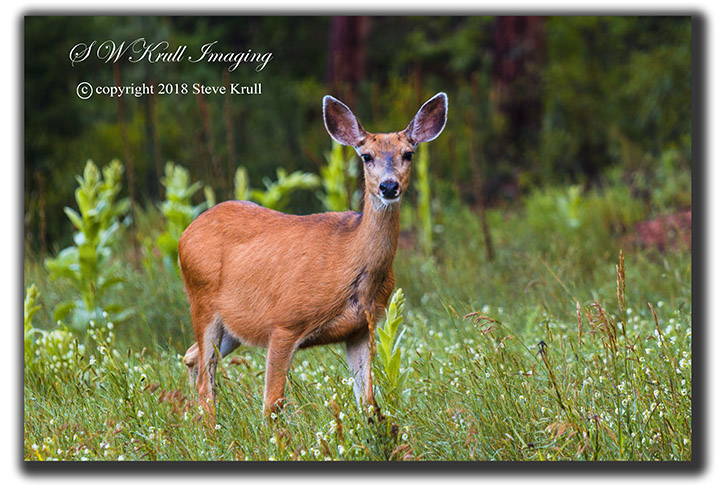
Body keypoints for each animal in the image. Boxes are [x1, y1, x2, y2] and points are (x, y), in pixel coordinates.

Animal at [179, 92, 447, 422]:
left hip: (232, 324)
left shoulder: (361, 328)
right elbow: (271, 404)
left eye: (408, 154)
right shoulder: (284, 322)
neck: (351, 262)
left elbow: (368, 401)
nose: (388, 186)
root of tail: (185, 233)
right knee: (205, 380)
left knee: (192, 357)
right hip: (202, 301)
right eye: (366, 156)